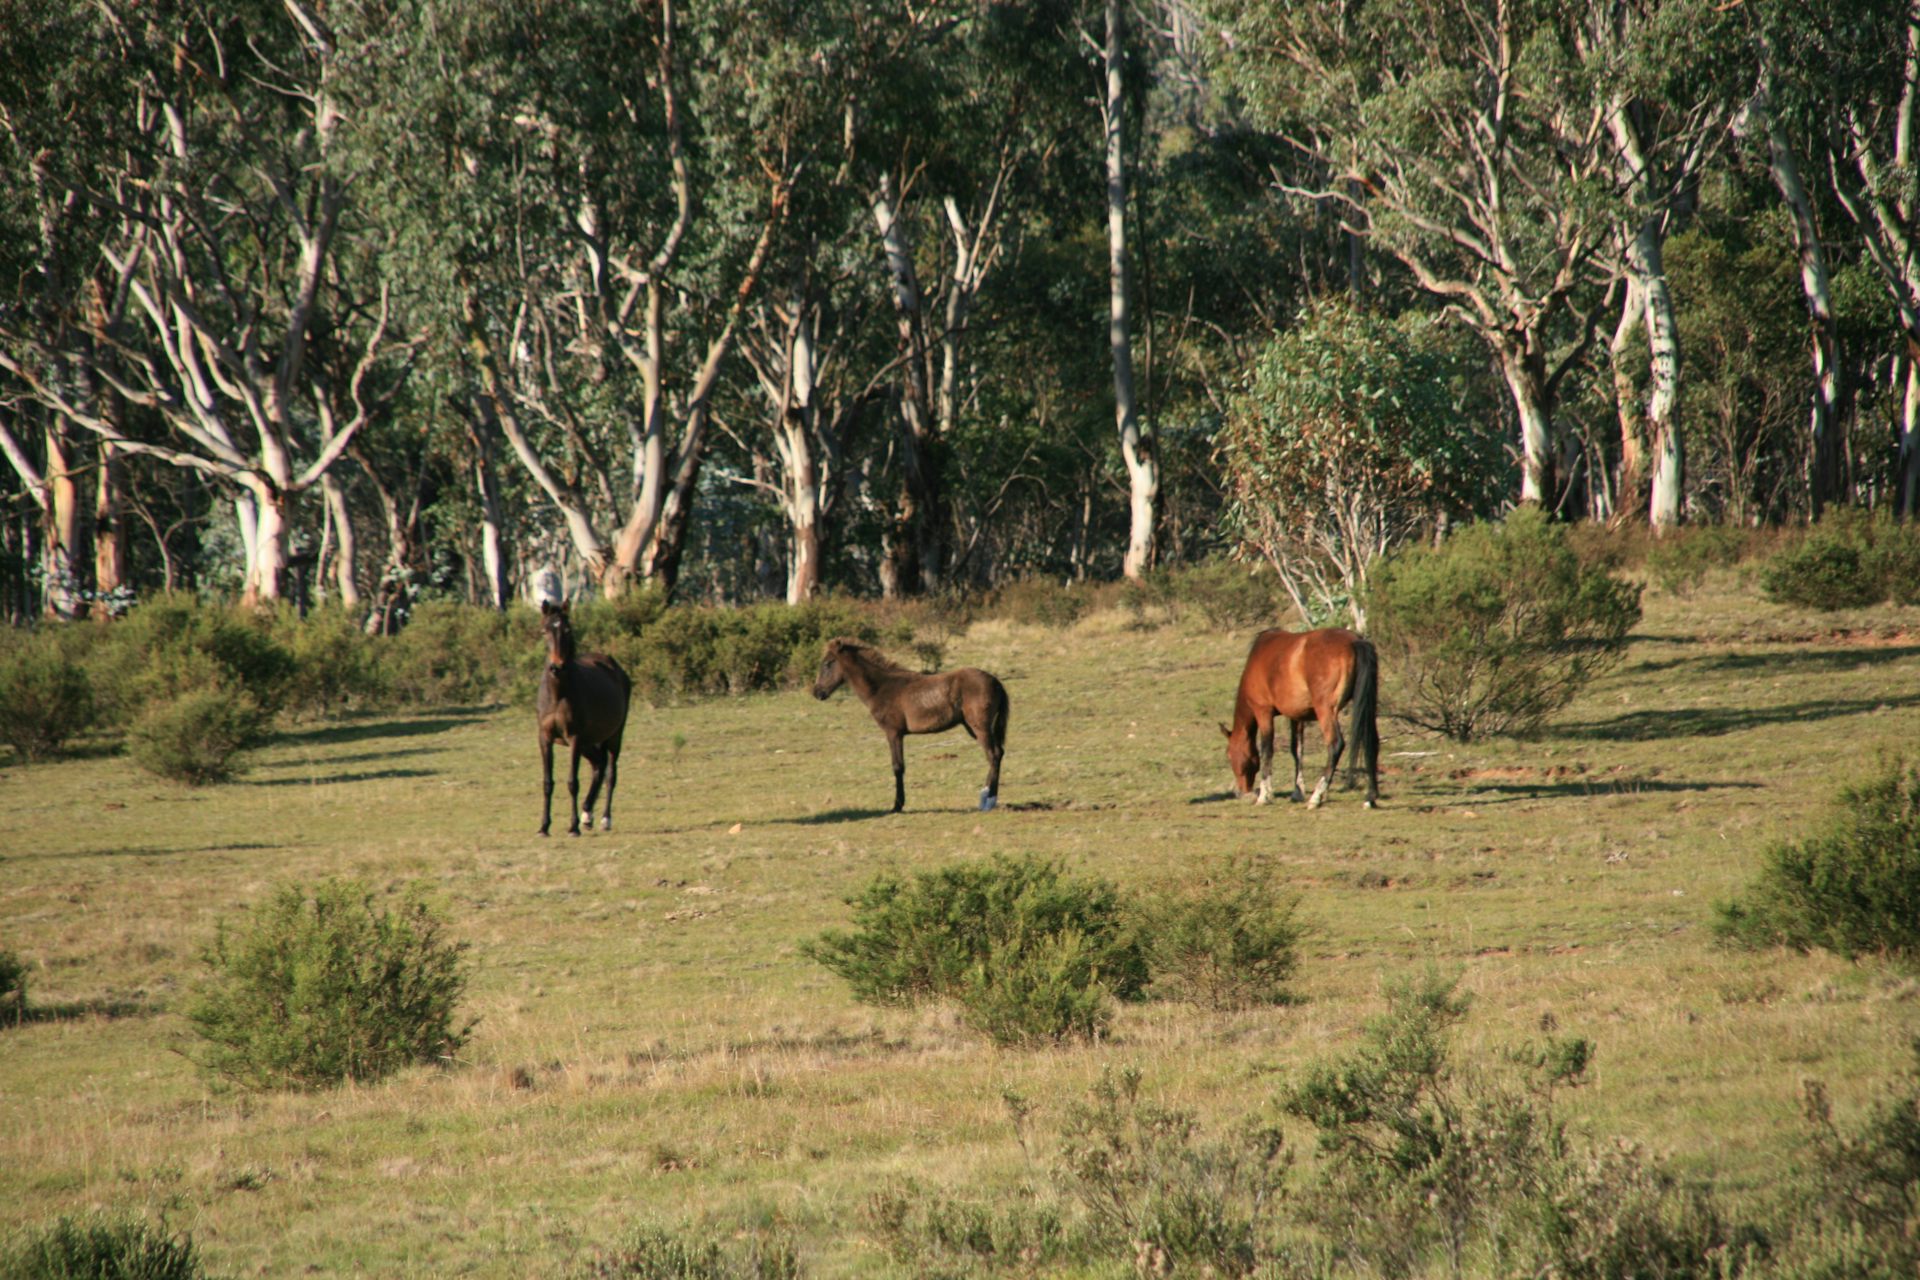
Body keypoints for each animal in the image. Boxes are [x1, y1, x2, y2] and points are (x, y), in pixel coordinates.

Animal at [537, 602, 633, 840]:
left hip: (613, 736)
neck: (558, 694)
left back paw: (605, 819)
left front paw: (573, 827)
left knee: (610, 773)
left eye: (568, 630)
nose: (557, 667)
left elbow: (573, 782)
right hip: (589, 743)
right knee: (598, 766)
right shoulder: (545, 739)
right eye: (544, 631)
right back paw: (587, 814)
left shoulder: (574, 738)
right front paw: (544, 827)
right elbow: (547, 783)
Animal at [814, 637, 1013, 817]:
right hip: (976, 728)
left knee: (993, 754)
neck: (882, 687)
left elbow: (898, 766)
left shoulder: (893, 733)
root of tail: (996, 682)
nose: (817, 692)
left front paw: (897, 806)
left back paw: (988, 800)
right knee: (998, 753)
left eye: (828, 663)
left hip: (980, 727)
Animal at [1221, 625, 1374, 805]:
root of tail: (1354, 641)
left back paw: (1316, 796)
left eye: (1229, 756)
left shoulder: (1263, 712)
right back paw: (1370, 797)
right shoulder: (1297, 717)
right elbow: (1297, 750)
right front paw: (1297, 791)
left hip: (1326, 711)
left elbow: (1267, 750)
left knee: (1336, 745)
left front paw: (1264, 795)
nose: (1240, 792)